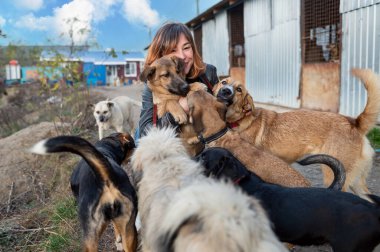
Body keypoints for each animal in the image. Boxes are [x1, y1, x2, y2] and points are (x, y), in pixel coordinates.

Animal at [214, 68, 380, 199]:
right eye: (224, 82)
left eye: (239, 89)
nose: (225, 90)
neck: (241, 119)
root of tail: (354, 122)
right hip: (357, 183)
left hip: (335, 177)